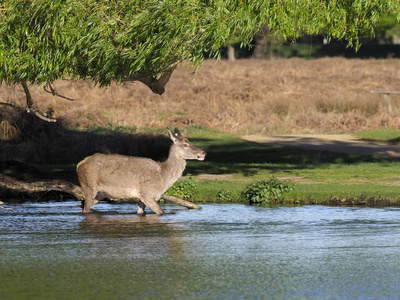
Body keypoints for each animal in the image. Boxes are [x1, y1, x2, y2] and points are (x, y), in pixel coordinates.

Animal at [76, 127, 206, 214]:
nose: (203, 152)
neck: (162, 178)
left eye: (190, 141)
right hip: (89, 187)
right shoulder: (147, 194)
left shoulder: (141, 198)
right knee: (85, 208)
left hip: (100, 194)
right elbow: (161, 212)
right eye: (185, 145)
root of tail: (79, 164)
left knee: (82, 204)